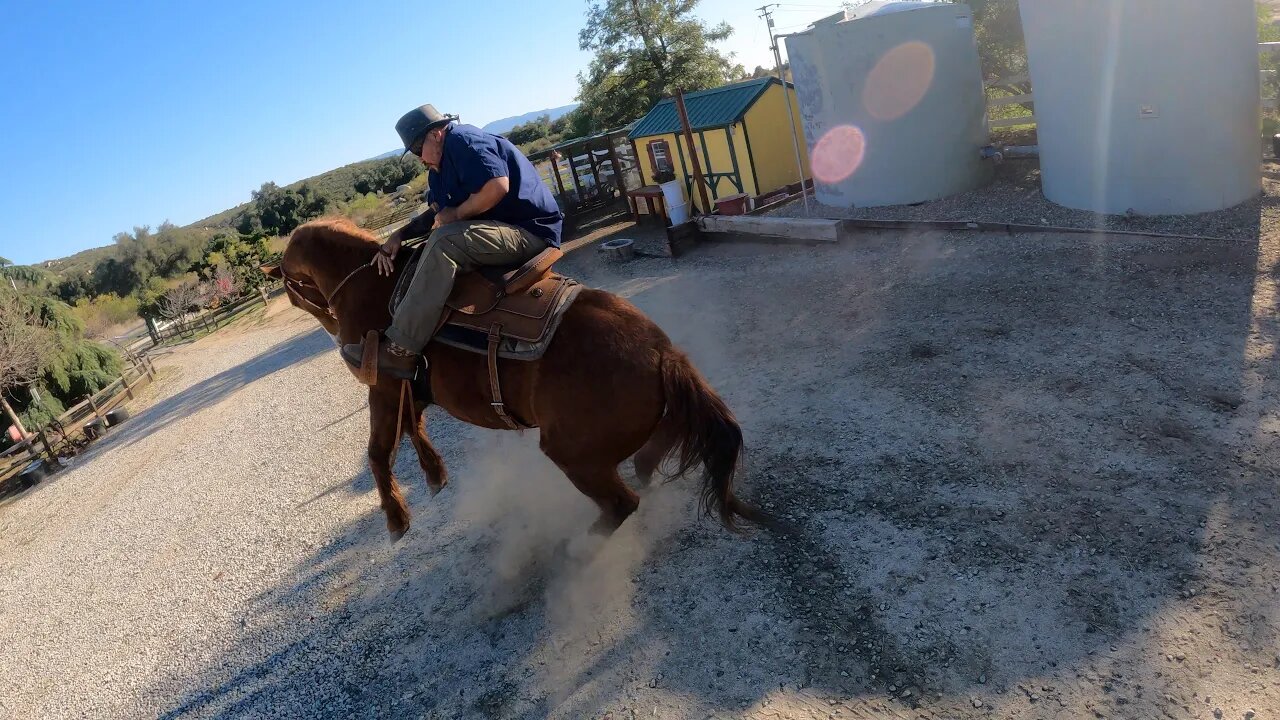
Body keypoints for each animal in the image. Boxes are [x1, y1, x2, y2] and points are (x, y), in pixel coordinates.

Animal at [258, 215, 757, 540]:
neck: (373, 289)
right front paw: (434, 474)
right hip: (641, 435)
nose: (331, 327)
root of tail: (662, 353)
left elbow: (379, 451)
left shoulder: (383, 387)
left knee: (622, 504)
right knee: (647, 465)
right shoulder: (409, 389)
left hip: (573, 455)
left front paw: (396, 518)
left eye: (289, 287)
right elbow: (413, 428)